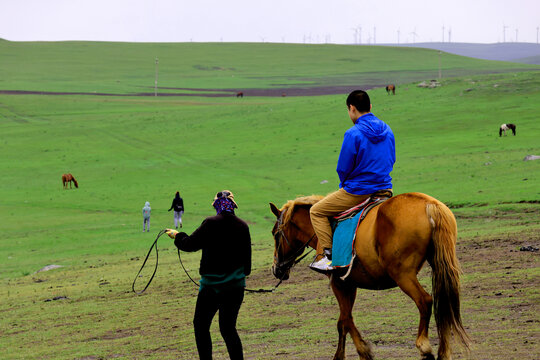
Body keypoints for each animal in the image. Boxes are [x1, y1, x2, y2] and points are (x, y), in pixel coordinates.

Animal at [270, 193, 468, 360]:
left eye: (275, 233)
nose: (276, 269)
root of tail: (430, 204)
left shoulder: (339, 283)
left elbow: (345, 320)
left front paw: (362, 352)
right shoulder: (350, 283)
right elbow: (344, 320)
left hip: (402, 274)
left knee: (425, 301)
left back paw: (424, 347)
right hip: (439, 266)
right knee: (445, 304)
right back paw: (444, 352)